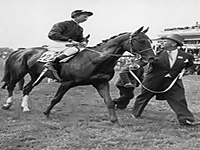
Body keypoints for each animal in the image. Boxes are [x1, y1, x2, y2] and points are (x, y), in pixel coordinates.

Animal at [1, 27, 156, 125]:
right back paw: (7, 104)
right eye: (141, 40)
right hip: (18, 73)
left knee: (27, 88)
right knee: (11, 86)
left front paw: (115, 121)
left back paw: (25, 107)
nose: (152, 58)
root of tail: (20, 51)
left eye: (150, 41)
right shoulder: (67, 83)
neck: (94, 59)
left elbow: (109, 102)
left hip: (36, 75)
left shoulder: (101, 83)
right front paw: (46, 113)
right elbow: (56, 98)